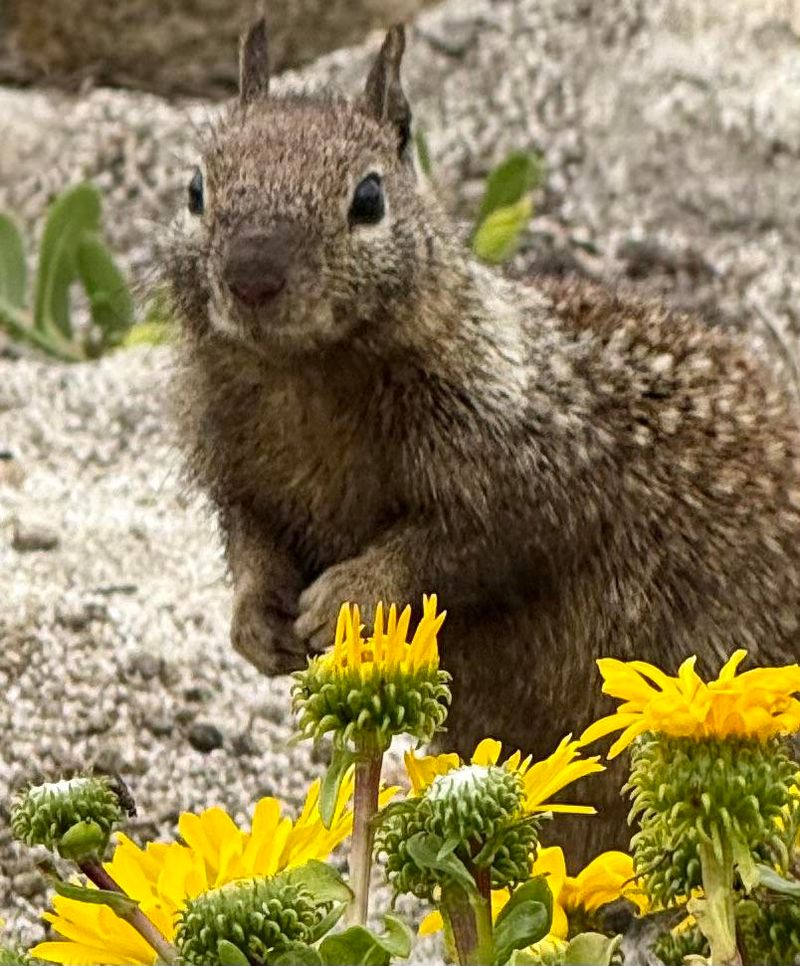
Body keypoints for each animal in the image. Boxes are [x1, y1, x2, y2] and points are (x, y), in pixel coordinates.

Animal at [167, 20, 800, 863]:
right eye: (195, 190)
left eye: (368, 198)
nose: (252, 278)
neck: (305, 375)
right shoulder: (236, 476)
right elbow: (249, 540)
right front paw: (254, 623)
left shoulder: (528, 474)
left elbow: (453, 548)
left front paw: (345, 597)